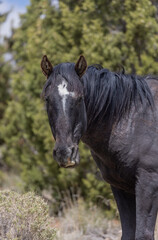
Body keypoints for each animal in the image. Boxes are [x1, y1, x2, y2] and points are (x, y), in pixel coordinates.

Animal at [40, 54, 158, 240]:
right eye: (47, 99)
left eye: (80, 98)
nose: (65, 153)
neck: (134, 118)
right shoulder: (121, 187)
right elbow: (128, 232)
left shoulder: (149, 184)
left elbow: (142, 234)